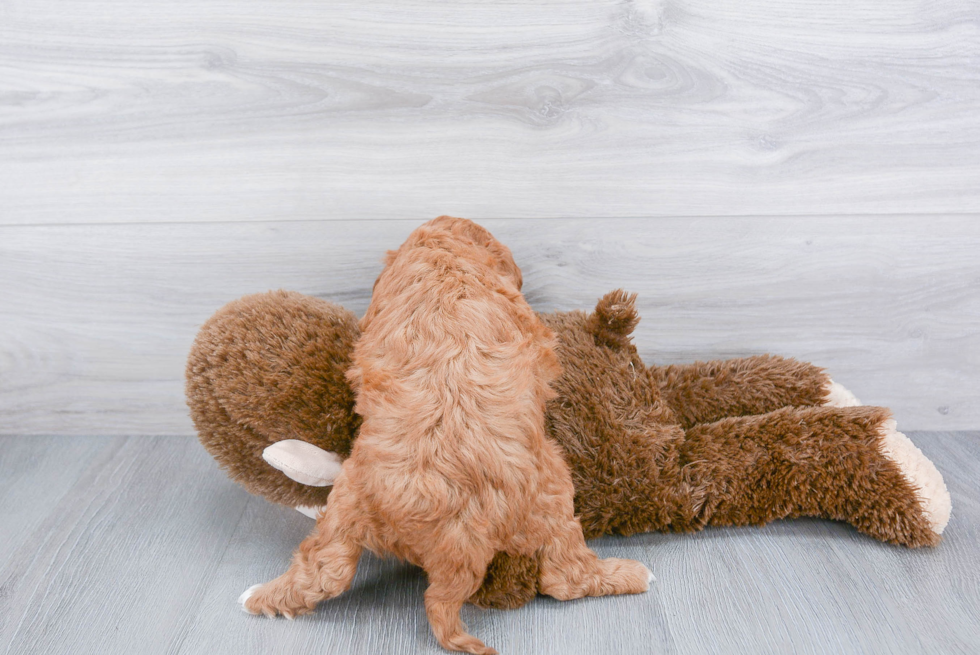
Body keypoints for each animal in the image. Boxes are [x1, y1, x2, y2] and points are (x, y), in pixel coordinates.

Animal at [242, 218, 652, 652]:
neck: (444, 254)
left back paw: (257, 596)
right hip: (553, 486)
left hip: (345, 503)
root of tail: (458, 535)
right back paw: (631, 574)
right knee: (564, 577)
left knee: (325, 572)